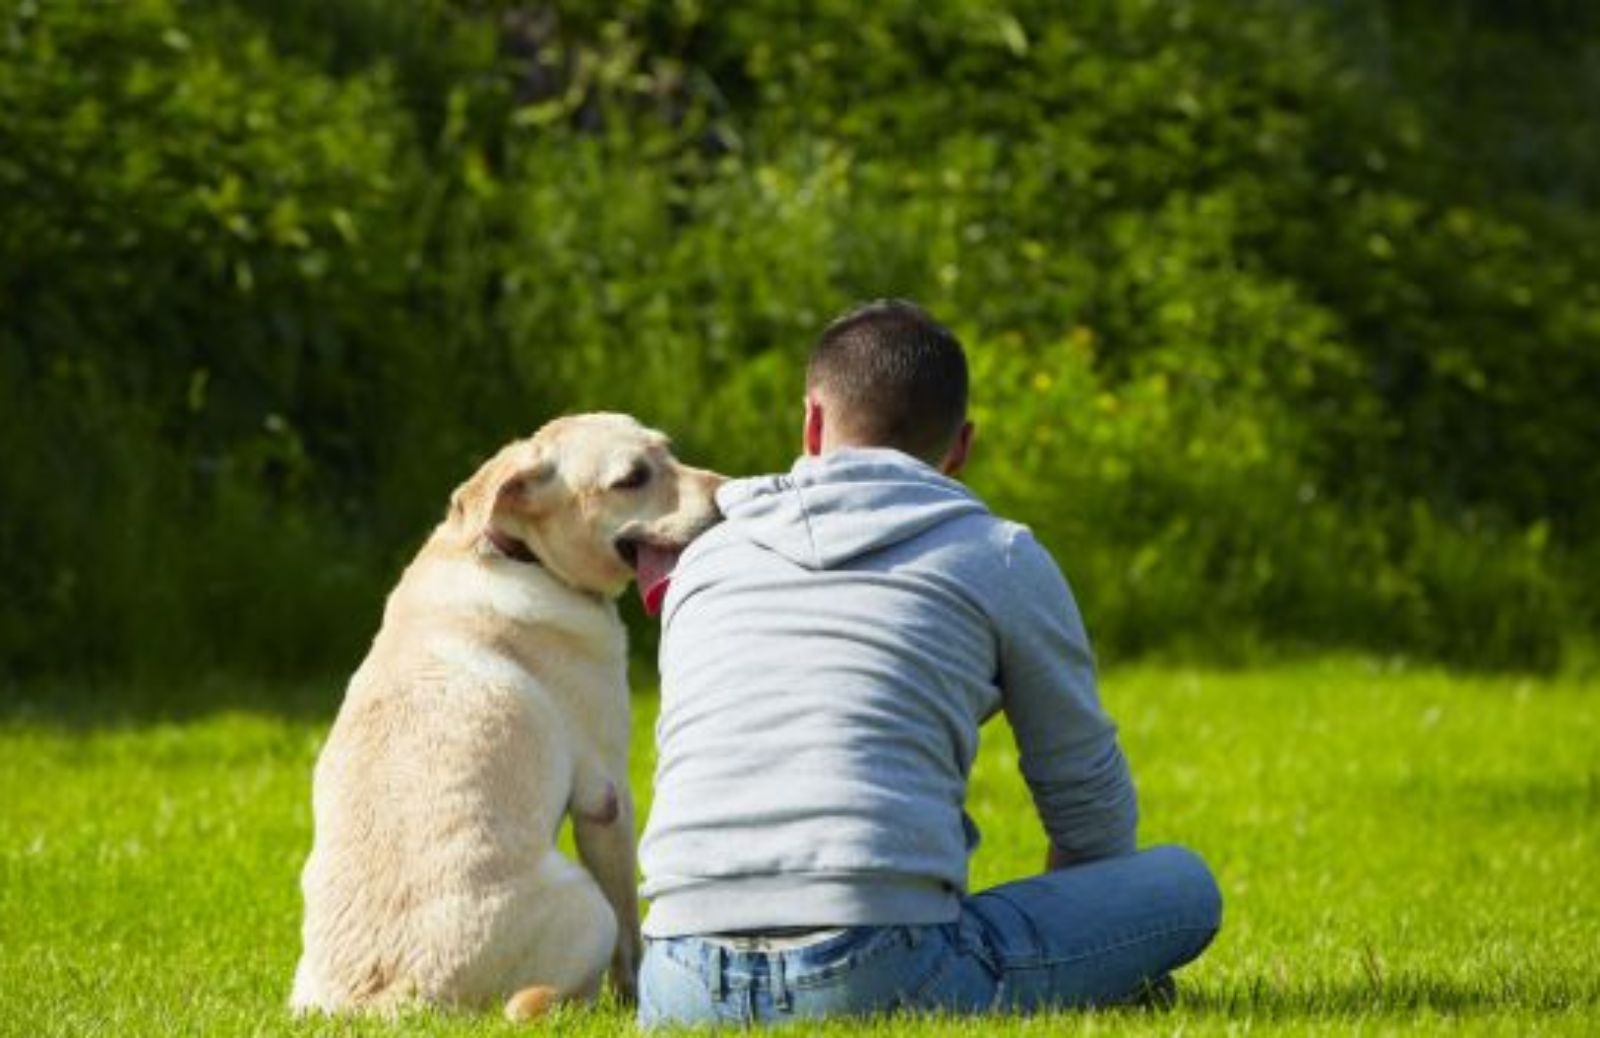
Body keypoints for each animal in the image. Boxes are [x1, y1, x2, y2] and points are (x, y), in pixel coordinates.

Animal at [291, 412, 723, 1017]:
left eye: (670, 452)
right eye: (632, 478)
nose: (729, 492)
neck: (519, 553)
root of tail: (388, 996)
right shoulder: (607, 796)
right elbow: (632, 931)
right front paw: (637, 996)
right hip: (587, 905)